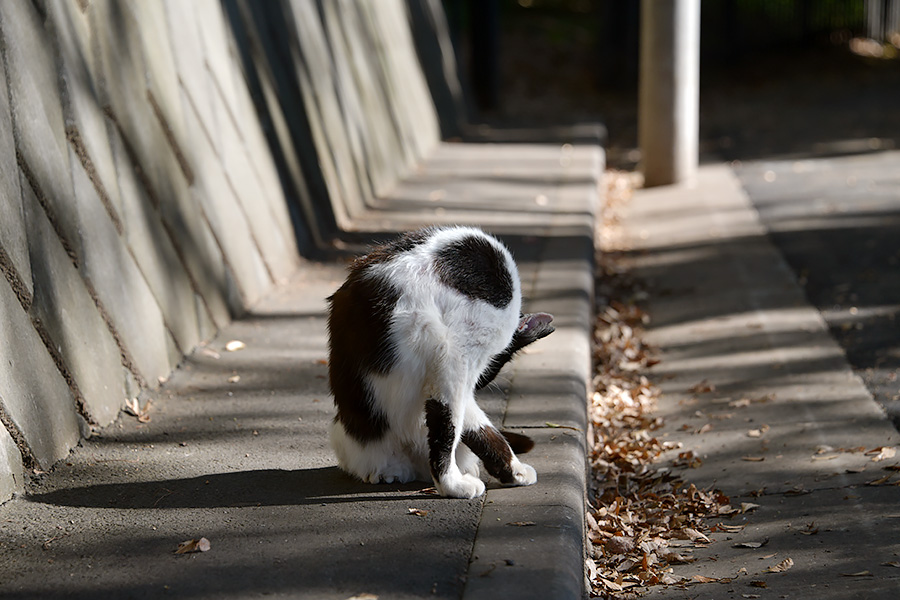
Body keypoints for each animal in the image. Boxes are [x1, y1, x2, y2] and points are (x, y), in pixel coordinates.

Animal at [328, 225, 556, 496]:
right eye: (488, 372)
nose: (480, 384)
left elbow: (476, 425)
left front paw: (512, 470)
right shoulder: (458, 357)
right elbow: (451, 422)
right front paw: (458, 482)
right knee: (445, 426)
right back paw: (453, 482)